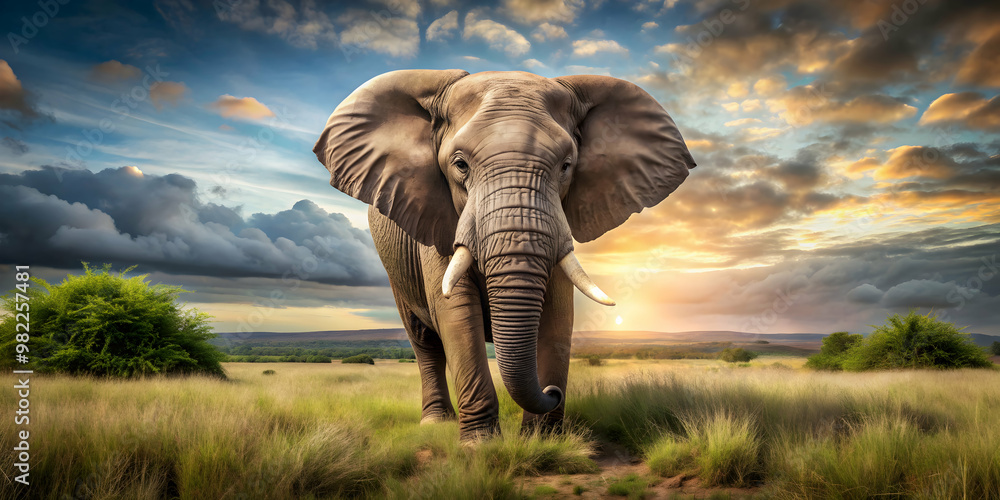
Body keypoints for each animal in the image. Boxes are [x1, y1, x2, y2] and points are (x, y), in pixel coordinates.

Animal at [313, 70, 695, 441]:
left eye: (566, 165)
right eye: (460, 165)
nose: (554, 392)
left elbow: (558, 315)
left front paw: (542, 442)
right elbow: (455, 312)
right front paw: (479, 445)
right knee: (424, 340)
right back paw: (435, 423)